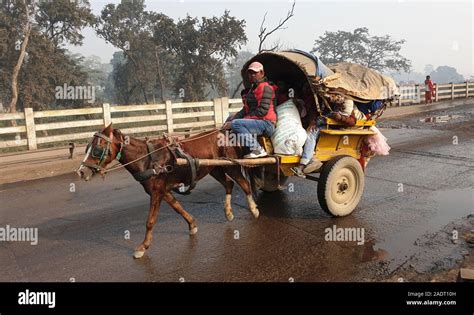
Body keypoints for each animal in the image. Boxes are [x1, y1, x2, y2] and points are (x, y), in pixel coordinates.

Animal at [76, 123, 260, 260]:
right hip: (214, 168)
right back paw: (228, 212)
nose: (81, 172)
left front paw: (142, 247)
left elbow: (150, 221)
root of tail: (224, 132)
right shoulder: (163, 191)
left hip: (231, 164)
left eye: (97, 149)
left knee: (244, 184)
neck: (147, 159)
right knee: (229, 185)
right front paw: (192, 225)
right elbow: (178, 207)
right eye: (87, 147)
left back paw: (253, 209)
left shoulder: (157, 191)